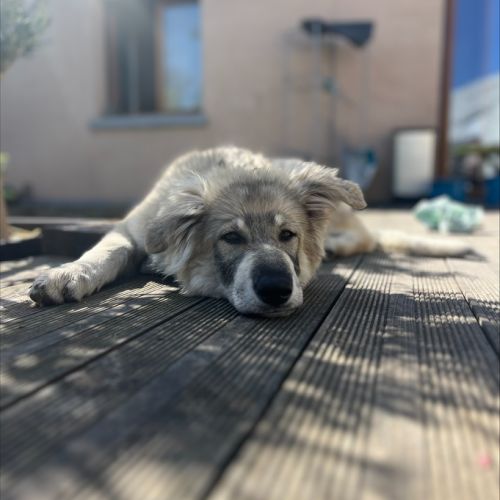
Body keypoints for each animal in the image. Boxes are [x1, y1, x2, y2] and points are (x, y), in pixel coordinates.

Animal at [29, 147, 472, 317]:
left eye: (288, 235)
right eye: (231, 238)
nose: (276, 289)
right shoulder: (131, 229)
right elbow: (107, 251)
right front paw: (67, 274)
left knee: (368, 236)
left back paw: (339, 247)